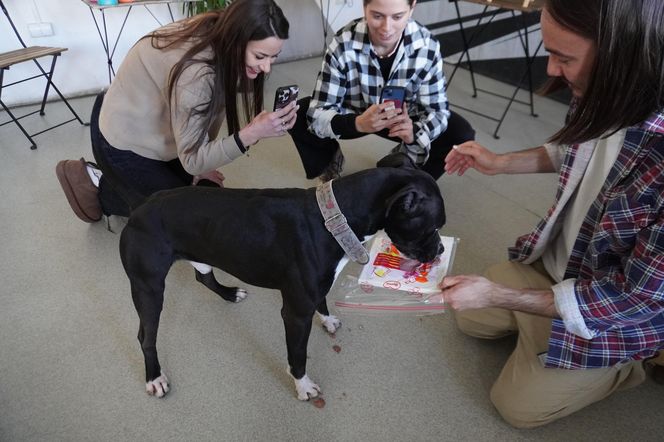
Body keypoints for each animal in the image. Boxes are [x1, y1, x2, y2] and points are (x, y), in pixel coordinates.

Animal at [119, 153, 446, 400]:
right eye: (433, 227)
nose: (442, 249)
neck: (334, 217)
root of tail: (139, 206)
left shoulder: (317, 287)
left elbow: (322, 301)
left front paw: (327, 319)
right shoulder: (295, 314)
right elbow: (298, 355)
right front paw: (302, 385)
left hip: (200, 256)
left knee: (204, 279)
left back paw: (229, 293)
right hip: (148, 287)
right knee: (145, 336)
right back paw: (154, 377)